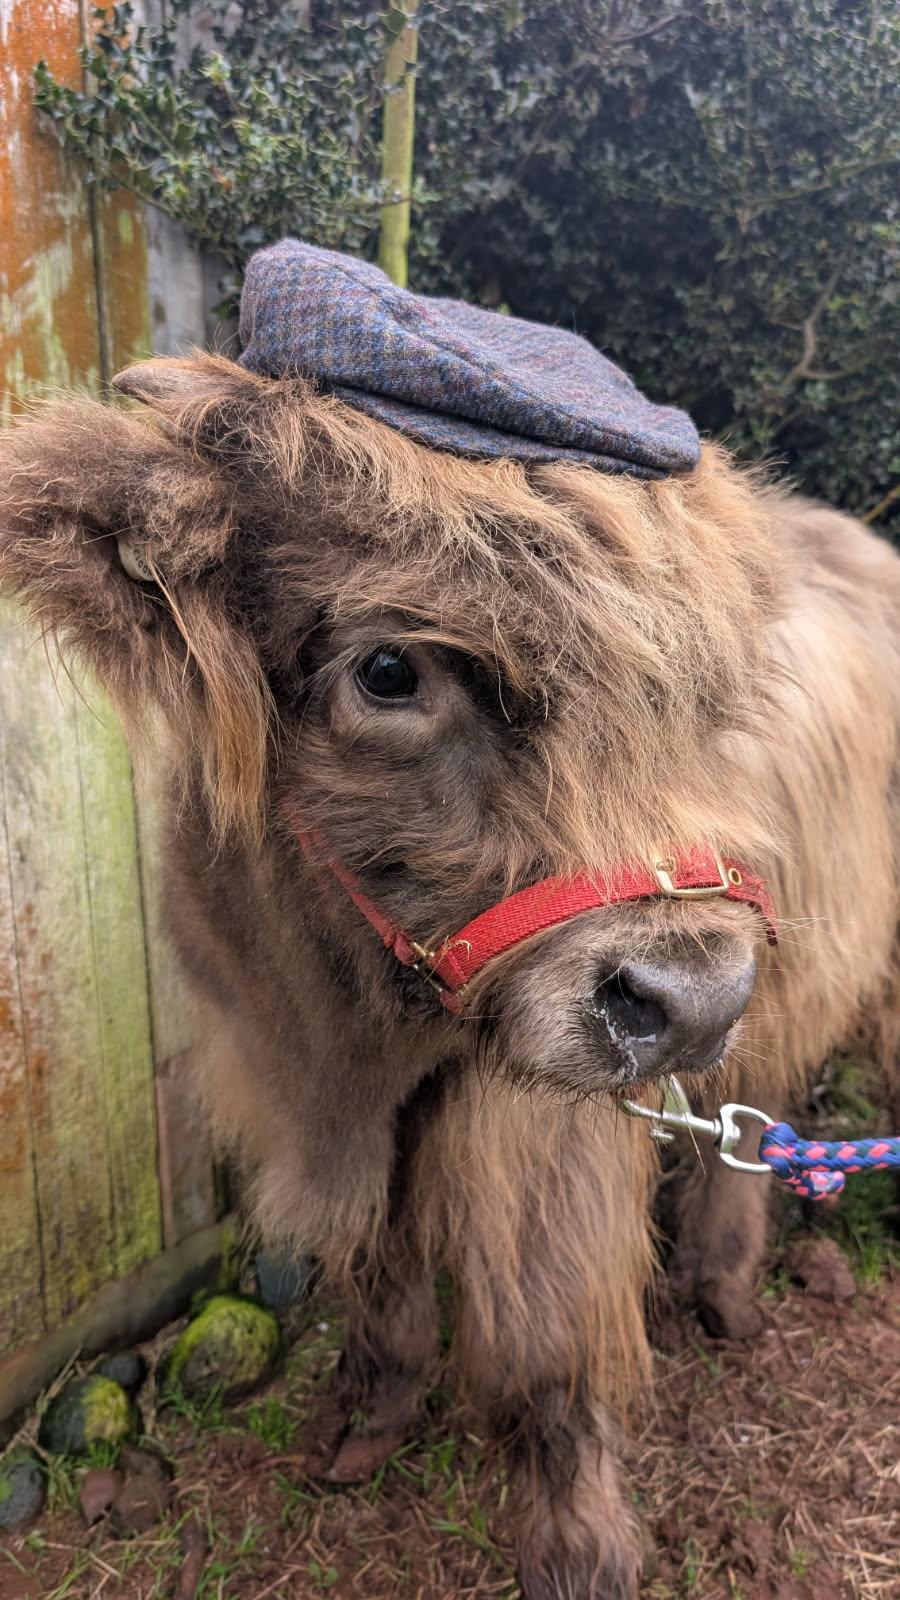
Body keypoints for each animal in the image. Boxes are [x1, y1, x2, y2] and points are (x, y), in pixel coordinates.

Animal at [1, 342, 898, 1598]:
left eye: (698, 695)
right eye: (390, 669)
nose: (684, 1002)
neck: (352, 1024)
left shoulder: (538, 1126)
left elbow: (539, 1332)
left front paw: (579, 1549)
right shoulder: (310, 1087)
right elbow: (378, 1264)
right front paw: (362, 1424)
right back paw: (715, 1281)